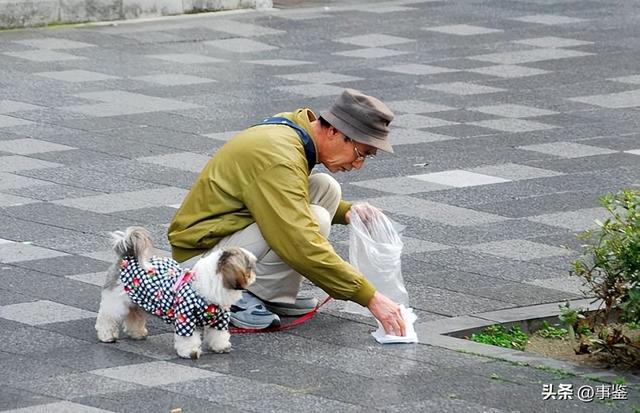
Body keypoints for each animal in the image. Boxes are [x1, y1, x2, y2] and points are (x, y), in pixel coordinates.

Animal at [95, 225, 255, 358]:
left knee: (134, 316)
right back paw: (107, 335)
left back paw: (138, 333)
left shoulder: (219, 320)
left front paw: (221, 347)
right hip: (116, 301)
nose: (253, 275)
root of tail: (127, 257)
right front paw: (191, 352)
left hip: (137, 300)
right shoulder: (185, 318)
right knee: (107, 318)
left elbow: (219, 334)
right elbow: (188, 339)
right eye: (248, 268)